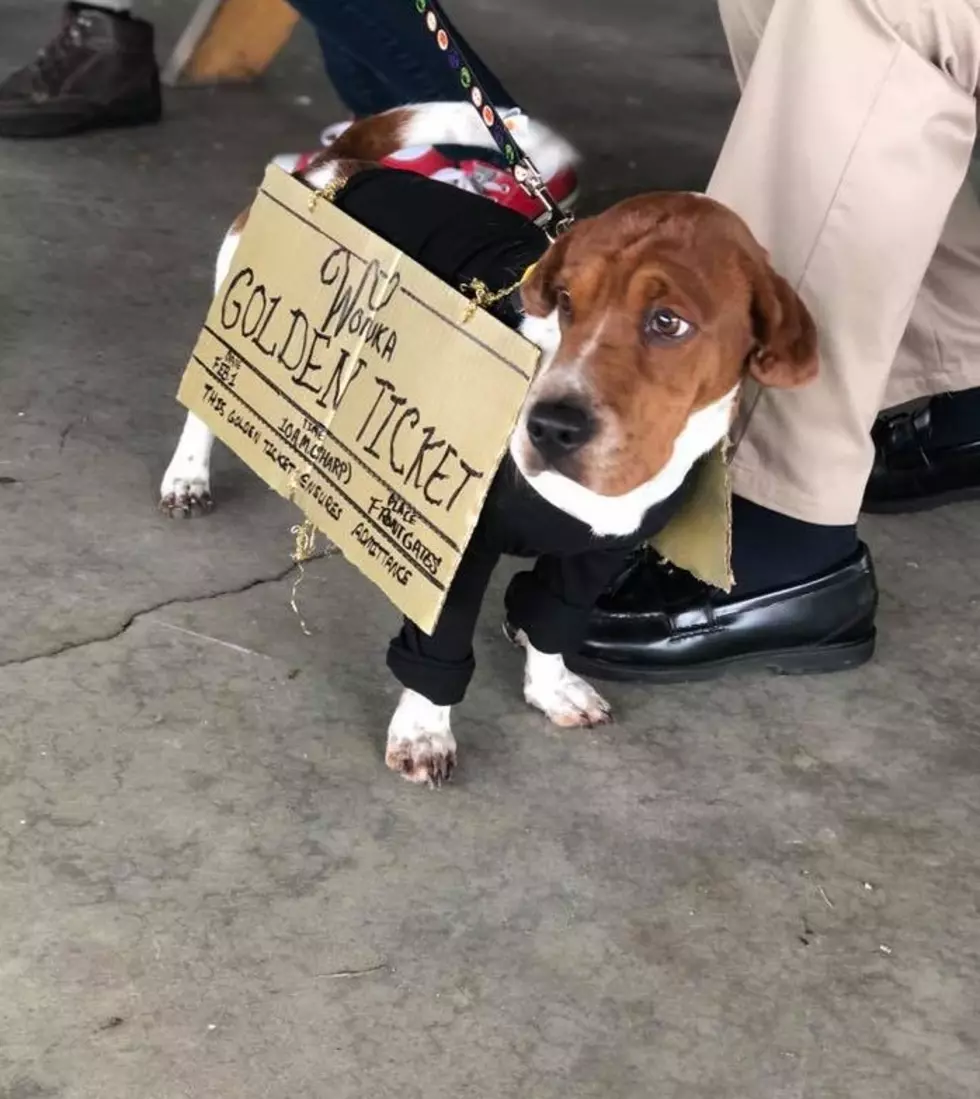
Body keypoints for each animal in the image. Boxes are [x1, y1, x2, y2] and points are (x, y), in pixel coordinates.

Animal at [160, 107, 817, 786]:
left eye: (668, 322)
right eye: (566, 301)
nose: (549, 426)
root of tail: (341, 164)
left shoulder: (592, 559)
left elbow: (553, 621)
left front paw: (551, 688)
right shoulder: (459, 556)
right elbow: (438, 651)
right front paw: (424, 732)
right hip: (236, 307)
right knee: (202, 410)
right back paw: (188, 476)